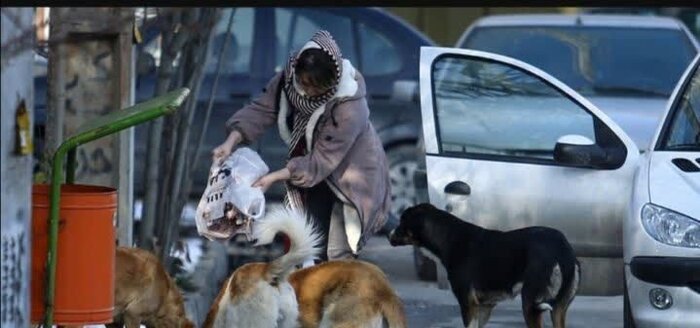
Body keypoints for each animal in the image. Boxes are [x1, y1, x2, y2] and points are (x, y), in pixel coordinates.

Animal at [388, 202, 580, 328]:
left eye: (401, 221)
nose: (388, 234)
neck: (449, 238)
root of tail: (562, 248)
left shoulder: (468, 304)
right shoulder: (484, 307)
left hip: (531, 305)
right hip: (558, 309)